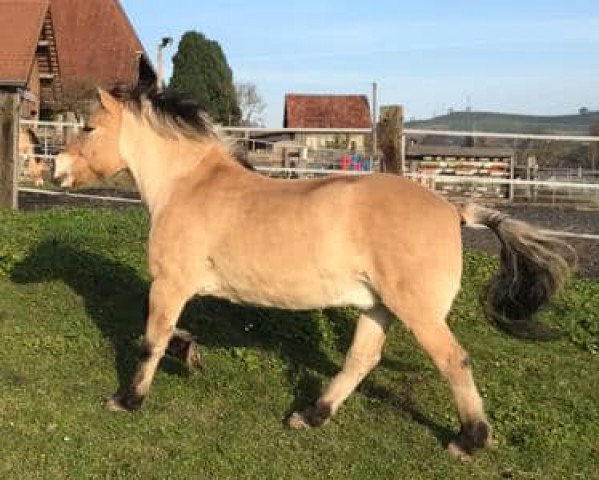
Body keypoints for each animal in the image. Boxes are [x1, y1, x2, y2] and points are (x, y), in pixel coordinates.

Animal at [55, 88, 572, 460]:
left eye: (88, 126)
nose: (55, 168)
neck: (188, 186)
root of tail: (453, 209)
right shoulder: (179, 288)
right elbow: (168, 335)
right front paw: (189, 354)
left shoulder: (170, 284)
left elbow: (151, 341)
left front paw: (128, 399)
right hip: (377, 307)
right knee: (361, 360)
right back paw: (310, 414)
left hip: (416, 311)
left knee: (453, 360)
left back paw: (468, 440)